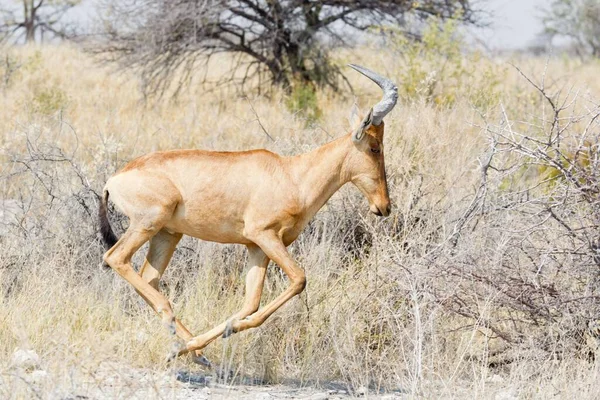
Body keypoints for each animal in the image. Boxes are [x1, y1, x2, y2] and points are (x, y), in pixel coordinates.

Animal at [98, 64, 398, 364]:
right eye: (375, 147)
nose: (384, 207)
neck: (291, 174)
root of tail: (113, 180)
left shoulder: (257, 248)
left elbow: (250, 303)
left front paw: (217, 334)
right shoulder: (264, 235)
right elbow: (299, 279)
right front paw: (207, 339)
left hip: (167, 234)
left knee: (149, 278)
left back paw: (193, 351)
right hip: (147, 223)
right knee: (115, 258)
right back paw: (186, 347)